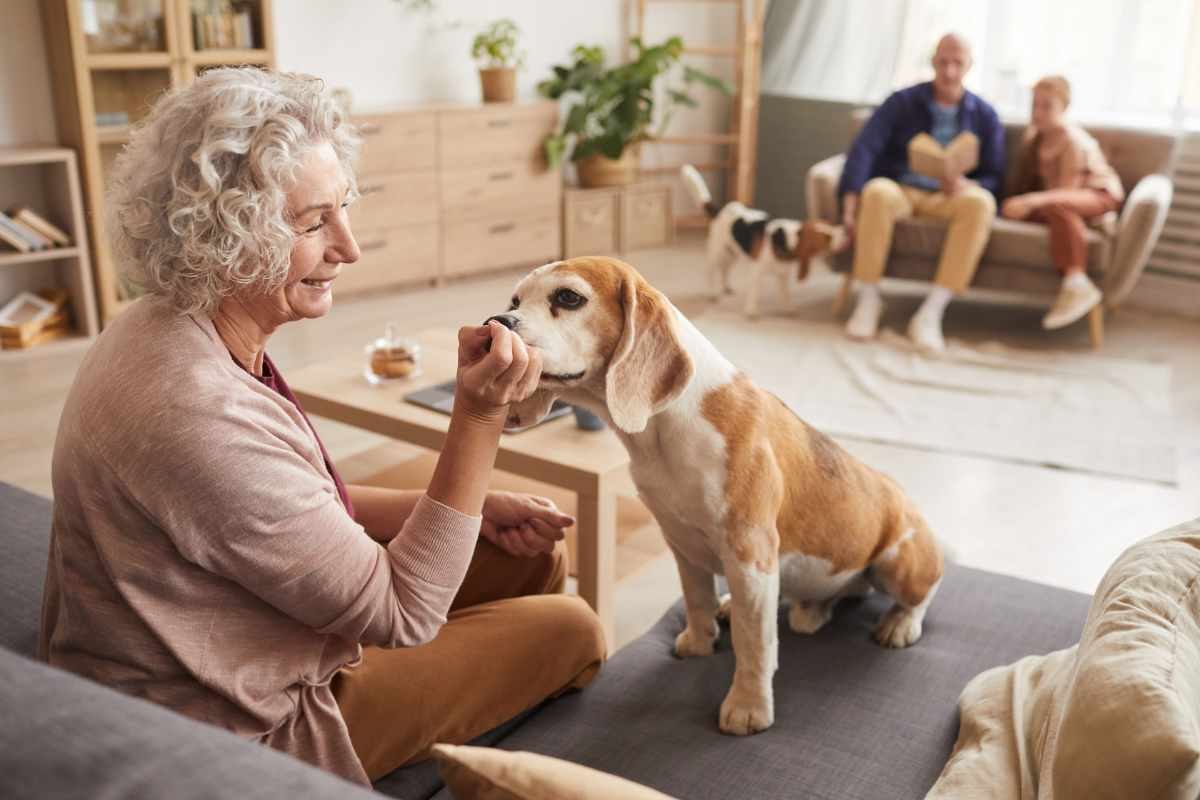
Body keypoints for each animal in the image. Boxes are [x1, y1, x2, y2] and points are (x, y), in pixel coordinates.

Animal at [492, 257, 940, 738]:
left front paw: (748, 707)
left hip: (898, 562)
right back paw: (804, 610)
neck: (661, 431)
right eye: (514, 301)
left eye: (568, 298)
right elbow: (697, 599)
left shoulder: (749, 555)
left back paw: (900, 623)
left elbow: (753, 642)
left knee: (925, 591)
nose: (495, 322)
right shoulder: (681, 543)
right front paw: (699, 641)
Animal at [686, 165, 844, 319]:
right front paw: (751, 311)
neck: (785, 238)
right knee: (710, 272)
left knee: (725, 270)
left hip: (732, 253)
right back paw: (711, 293)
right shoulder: (757, 272)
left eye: (830, 224)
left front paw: (789, 309)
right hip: (717, 251)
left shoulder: (783, 276)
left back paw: (726, 287)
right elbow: (754, 293)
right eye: (827, 237)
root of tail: (721, 209)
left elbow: (785, 295)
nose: (844, 231)